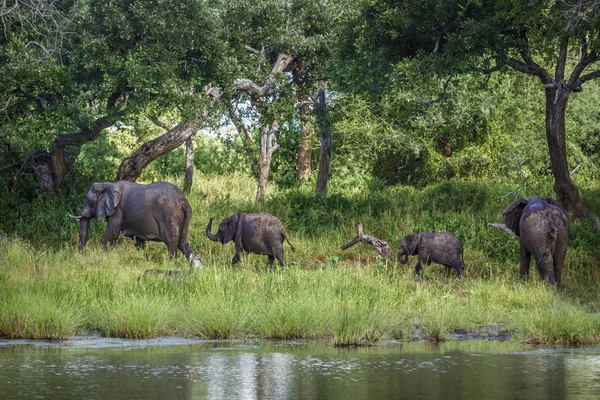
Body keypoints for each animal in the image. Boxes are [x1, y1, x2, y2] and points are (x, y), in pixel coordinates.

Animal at [72, 180, 202, 268]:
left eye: (89, 201)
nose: (81, 255)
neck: (107, 184)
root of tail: (184, 201)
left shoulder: (117, 210)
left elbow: (111, 233)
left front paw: (104, 259)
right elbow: (139, 242)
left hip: (170, 216)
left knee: (172, 243)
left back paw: (171, 266)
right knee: (182, 243)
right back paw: (197, 268)